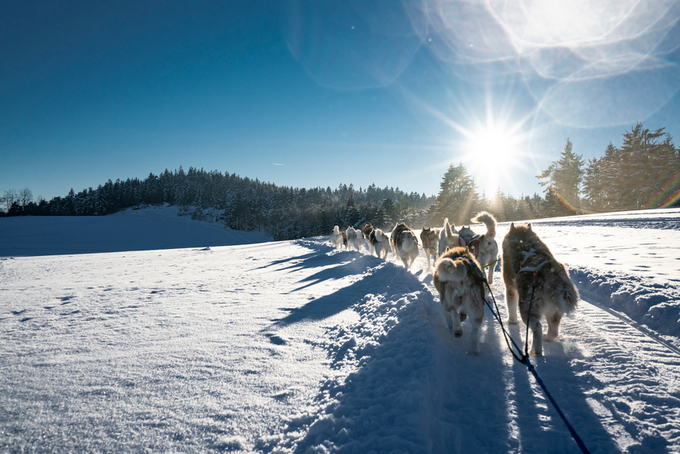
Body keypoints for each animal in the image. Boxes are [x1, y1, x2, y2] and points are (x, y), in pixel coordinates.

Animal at [500, 225, 580, 356]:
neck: (523, 239)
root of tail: (552, 276)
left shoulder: (510, 288)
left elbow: (511, 307)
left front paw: (511, 321)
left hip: (528, 308)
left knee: (537, 328)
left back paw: (535, 351)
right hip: (553, 311)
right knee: (553, 332)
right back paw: (546, 338)